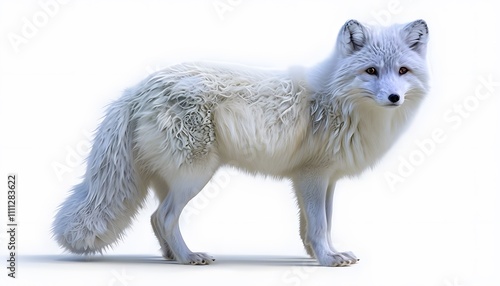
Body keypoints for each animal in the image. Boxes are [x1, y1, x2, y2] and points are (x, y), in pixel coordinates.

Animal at [53, 19, 430, 266]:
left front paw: (321, 253)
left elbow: (319, 224)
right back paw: (189, 257)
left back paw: (172, 256)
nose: (394, 98)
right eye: (371, 71)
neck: (339, 101)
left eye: (403, 71)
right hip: (195, 176)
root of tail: (137, 88)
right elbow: (319, 224)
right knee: (164, 217)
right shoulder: (311, 176)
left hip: (173, 180)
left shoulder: (325, 180)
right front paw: (326, 259)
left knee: (154, 220)